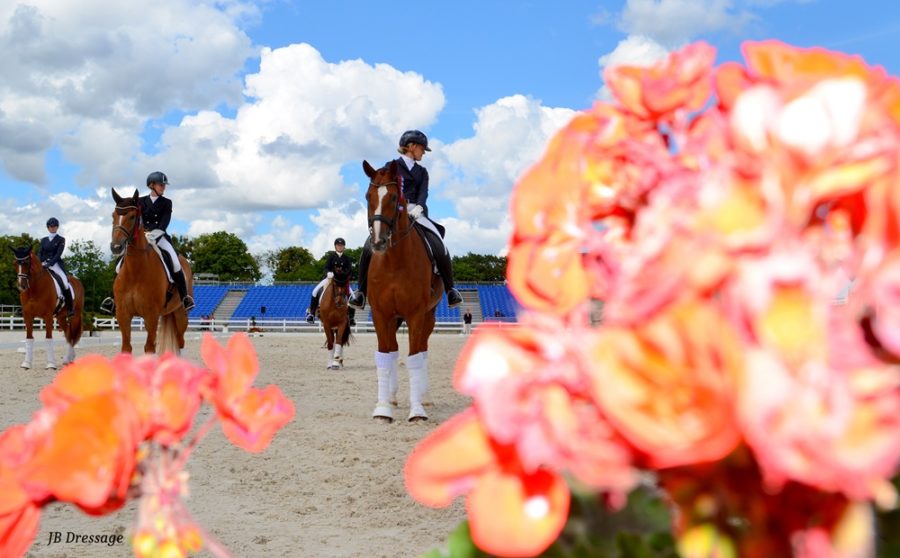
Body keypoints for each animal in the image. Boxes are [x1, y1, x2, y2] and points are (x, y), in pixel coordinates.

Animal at [110, 188, 192, 354]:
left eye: (132, 216)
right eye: (113, 216)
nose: (115, 247)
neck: (135, 272)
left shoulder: (151, 315)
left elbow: (149, 348)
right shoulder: (123, 314)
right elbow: (126, 348)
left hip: (181, 314)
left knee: (181, 342)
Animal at [360, 160, 442, 422]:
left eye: (395, 197)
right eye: (368, 196)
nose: (378, 242)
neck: (394, 260)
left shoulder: (416, 314)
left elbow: (415, 358)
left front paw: (417, 411)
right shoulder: (381, 314)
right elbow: (385, 356)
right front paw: (383, 408)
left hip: (428, 315)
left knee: (423, 351)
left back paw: (426, 397)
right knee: (394, 351)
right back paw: (393, 397)